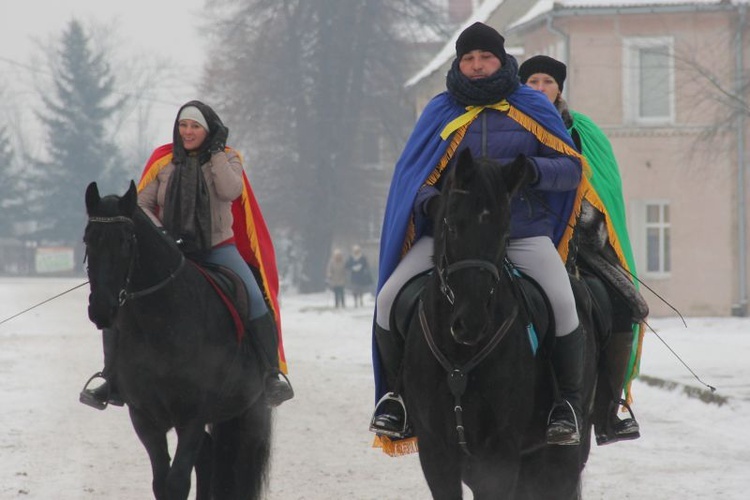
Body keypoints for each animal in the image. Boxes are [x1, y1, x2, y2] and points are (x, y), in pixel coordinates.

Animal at [82, 183, 274, 500]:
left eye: (126, 241)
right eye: (88, 239)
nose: (101, 309)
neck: (160, 324)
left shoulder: (193, 416)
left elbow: (177, 482)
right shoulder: (144, 417)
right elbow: (162, 483)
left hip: (249, 412)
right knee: (209, 455)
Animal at [400, 151, 600, 500]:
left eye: (505, 234)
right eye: (452, 227)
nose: (470, 323)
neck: (460, 358)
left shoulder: (499, 453)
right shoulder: (435, 451)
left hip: (560, 455)